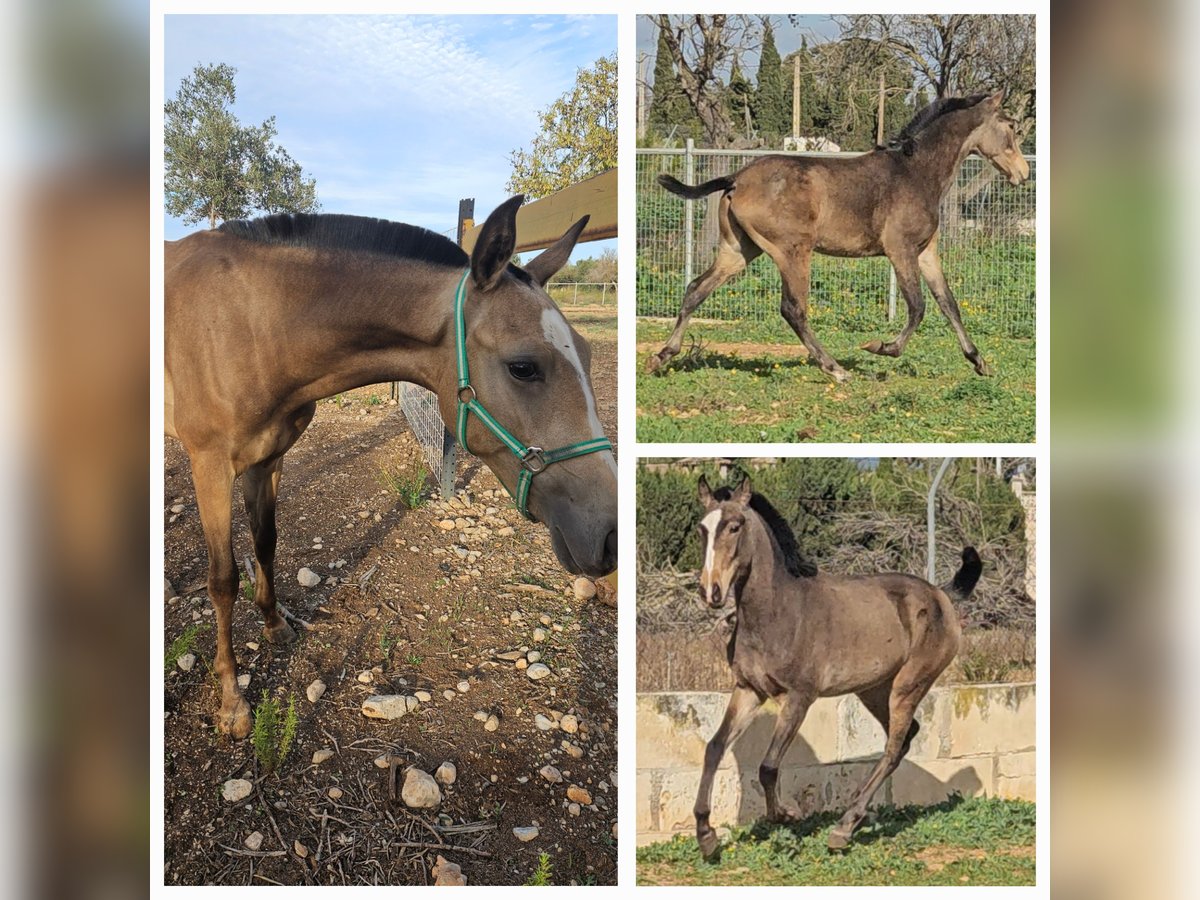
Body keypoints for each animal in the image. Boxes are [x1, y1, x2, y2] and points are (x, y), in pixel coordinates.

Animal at [166, 196, 619, 739]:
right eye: (523, 367)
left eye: (588, 354)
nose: (611, 534)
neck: (250, 326)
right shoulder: (210, 467)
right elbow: (222, 580)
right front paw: (232, 701)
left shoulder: (268, 460)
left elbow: (266, 544)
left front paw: (275, 625)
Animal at [648, 93, 1032, 381]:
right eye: (1011, 127)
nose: (1024, 173)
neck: (916, 171)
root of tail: (736, 178)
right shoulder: (901, 250)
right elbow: (918, 306)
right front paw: (882, 347)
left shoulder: (926, 252)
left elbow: (948, 304)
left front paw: (979, 362)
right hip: (793, 251)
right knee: (793, 309)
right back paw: (835, 368)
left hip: (739, 251)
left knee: (695, 289)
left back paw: (662, 355)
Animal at [691, 475, 979, 854]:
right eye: (702, 529)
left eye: (735, 526)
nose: (711, 591)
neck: (778, 612)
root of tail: (942, 594)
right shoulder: (749, 690)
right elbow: (714, 748)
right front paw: (706, 835)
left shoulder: (800, 697)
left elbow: (768, 765)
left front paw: (785, 816)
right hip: (874, 690)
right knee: (904, 739)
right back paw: (852, 817)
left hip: (908, 685)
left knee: (894, 747)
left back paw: (843, 829)